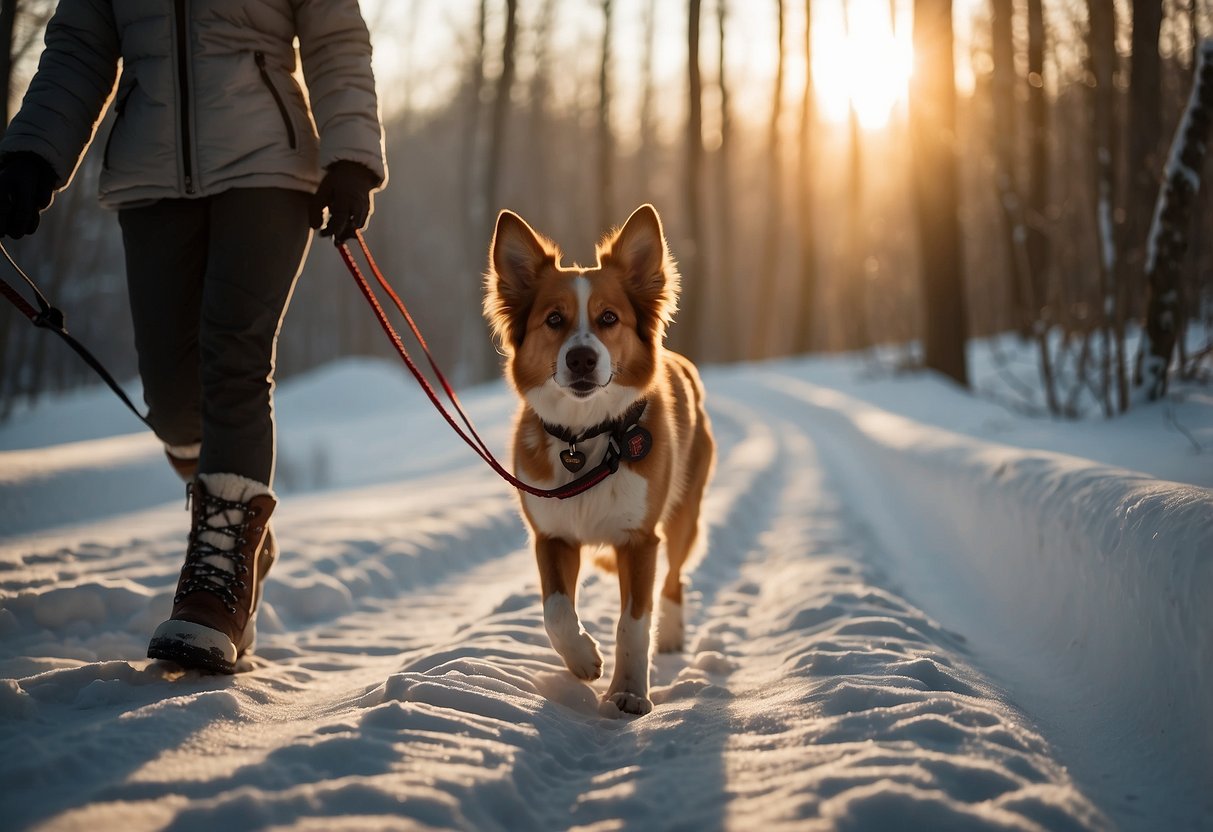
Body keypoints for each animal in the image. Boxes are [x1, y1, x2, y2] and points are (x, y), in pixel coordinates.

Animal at [480, 203, 708, 717]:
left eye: (608, 318)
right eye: (553, 319)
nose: (582, 358)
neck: (587, 437)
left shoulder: (640, 540)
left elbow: (633, 624)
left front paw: (628, 691)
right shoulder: (552, 535)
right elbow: (556, 611)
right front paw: (583, 659)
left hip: (683, 514)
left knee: (675, 578)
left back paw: (672, 633)